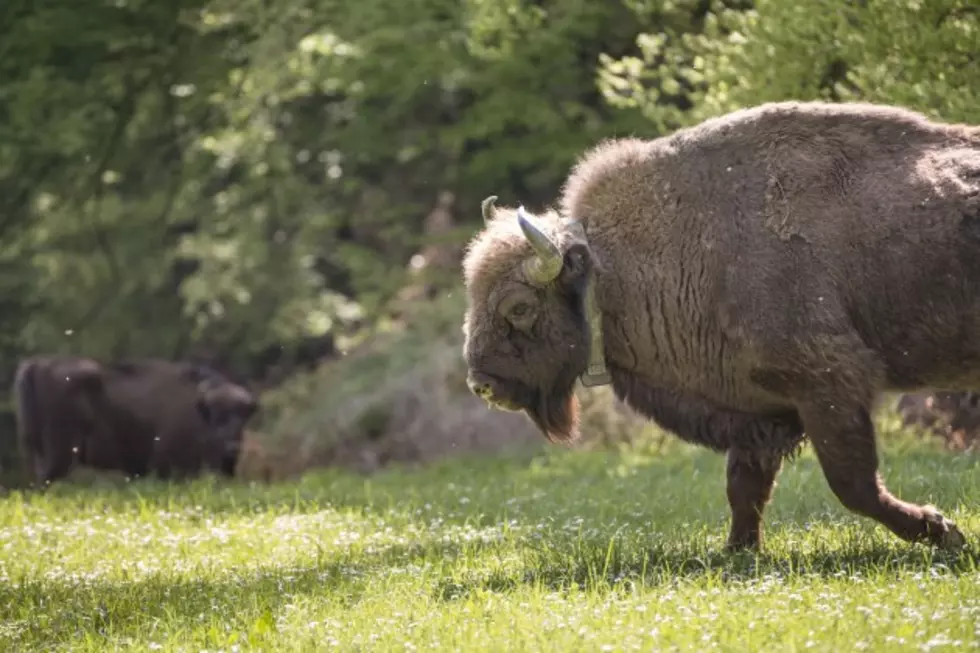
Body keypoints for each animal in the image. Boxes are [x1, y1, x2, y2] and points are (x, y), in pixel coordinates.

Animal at [13, 356, 258, 484]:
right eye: (217, 418)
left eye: (242, 419)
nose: (232, 448)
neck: (198, 408)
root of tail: (40, 365)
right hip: (59, 454)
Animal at [462, 100, 980, 552]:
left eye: (519, 308)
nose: (481, 383)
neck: (613, 271)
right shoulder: (760, 413)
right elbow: (743, 487)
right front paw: (737, 552)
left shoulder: (830, 385)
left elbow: (853, 485)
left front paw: (944, 531)